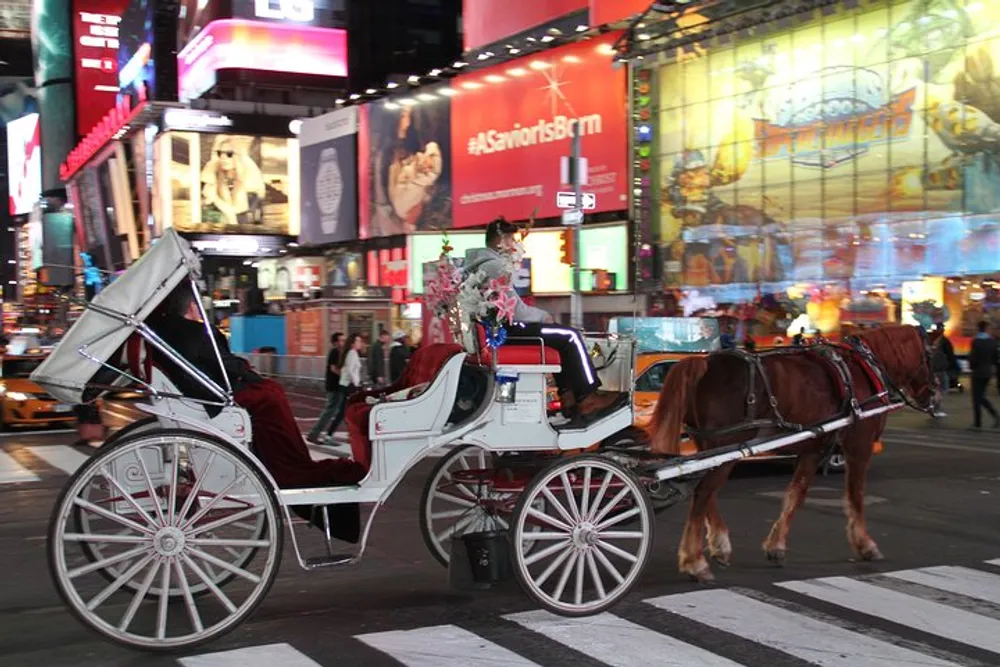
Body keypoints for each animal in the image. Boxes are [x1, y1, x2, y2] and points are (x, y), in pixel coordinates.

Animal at [648, 326, 936, 580]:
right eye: (932, 356)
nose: (934, 398)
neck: (864, 369)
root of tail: (705, 362)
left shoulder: (813, 448)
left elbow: (795, 495)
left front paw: (776, 546)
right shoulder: (859, 446)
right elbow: (855, 496)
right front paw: (865, 544)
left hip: (713, 446)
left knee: (705, 492)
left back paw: (719, 546)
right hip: (727, 443)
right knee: (704, 492)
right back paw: (694, 561)